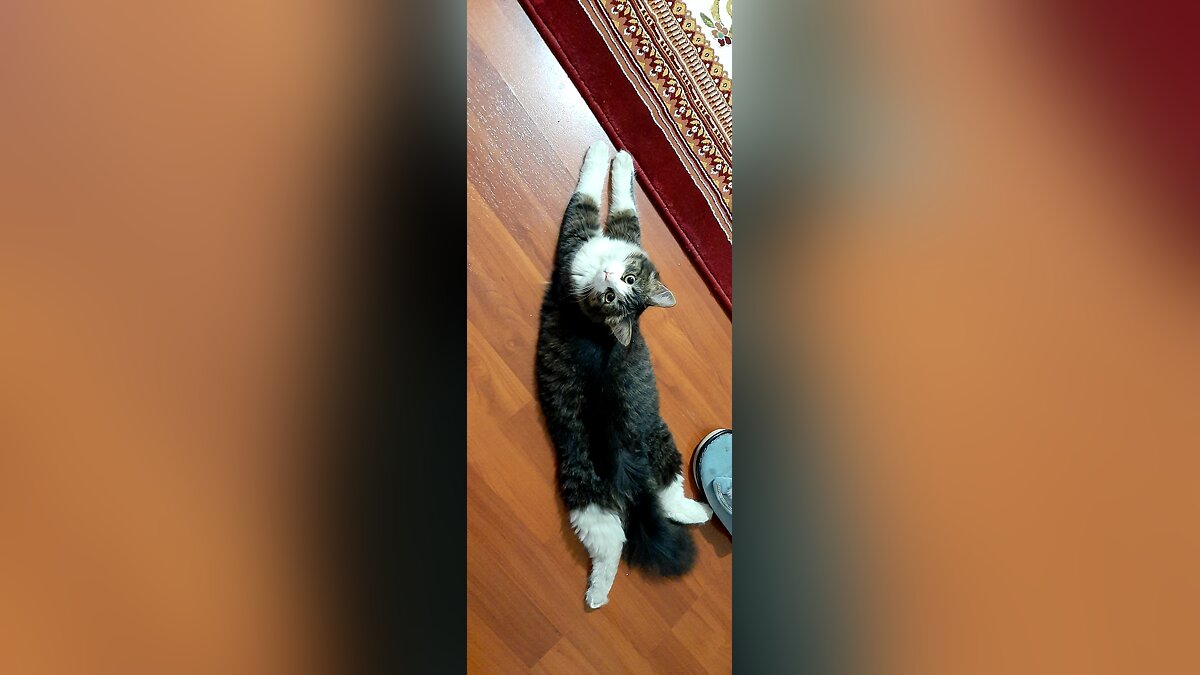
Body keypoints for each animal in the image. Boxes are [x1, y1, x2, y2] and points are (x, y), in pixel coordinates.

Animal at [535, 142, 713, 609]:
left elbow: (604, 196)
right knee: (656, 509)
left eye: (627, 283)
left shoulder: (584, 231)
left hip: (593, 486)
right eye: (616, 291)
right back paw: (701, 513)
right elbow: (616, 199)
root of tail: (629, 473)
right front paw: (618, 153)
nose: (609, 277)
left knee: (618, 541)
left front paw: (613, 153)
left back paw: (596, 597)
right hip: (633, 465)